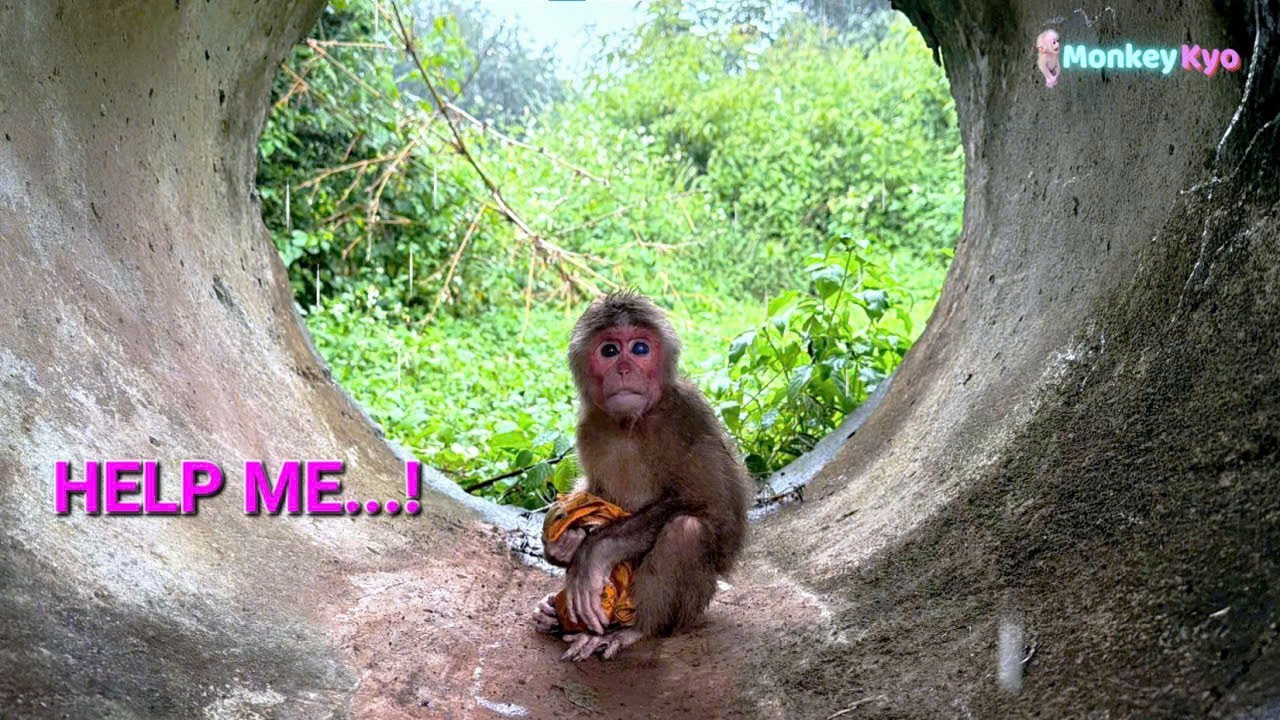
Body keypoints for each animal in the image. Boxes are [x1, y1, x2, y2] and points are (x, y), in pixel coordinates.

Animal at [530, 291, 752, 661]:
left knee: (685, 530)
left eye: (639, 349)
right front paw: (566, 542)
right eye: (609, 350)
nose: (624, 369)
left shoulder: (687, 416)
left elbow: (719, 513)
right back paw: (552, 614)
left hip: (691, 604)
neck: (633, 423)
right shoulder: (590, 424)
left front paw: (594, 551)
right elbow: (594, 491)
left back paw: (634, 629)